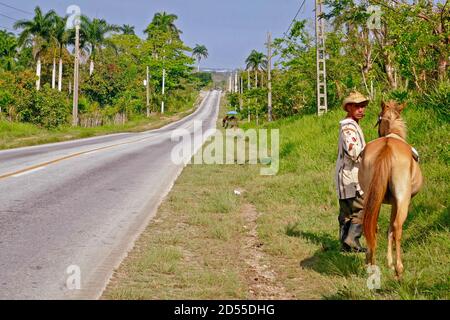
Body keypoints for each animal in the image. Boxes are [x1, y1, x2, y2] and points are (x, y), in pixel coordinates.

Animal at [358, 101, 422, 278]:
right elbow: (392, 229)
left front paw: (387, 261)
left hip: (370, 198)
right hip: (403, 199)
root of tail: (387, 146)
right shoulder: (396, 202)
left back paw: (371, 264)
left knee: (372, 226)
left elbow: (386, 229)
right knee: (398, 227)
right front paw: (391, 263)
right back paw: (399, 269)